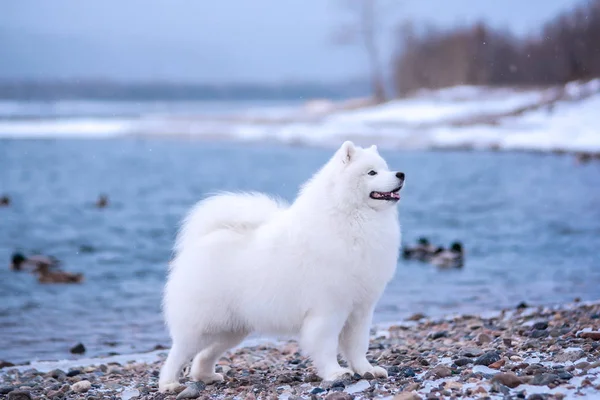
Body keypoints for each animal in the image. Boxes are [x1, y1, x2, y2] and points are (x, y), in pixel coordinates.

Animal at [157, 142, 406, 392]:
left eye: (386, 168)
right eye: (371, 172)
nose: (401, 174)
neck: (351, 218)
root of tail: (204, 240)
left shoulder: (360, 310)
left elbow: (358, 346)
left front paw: (367, 370)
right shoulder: (328, 309)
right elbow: (326, 345)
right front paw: (335, 373)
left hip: (232, 329)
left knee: (204, 355)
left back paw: (206, 376)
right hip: (202, 326)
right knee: (177, 354)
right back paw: (169, 384)